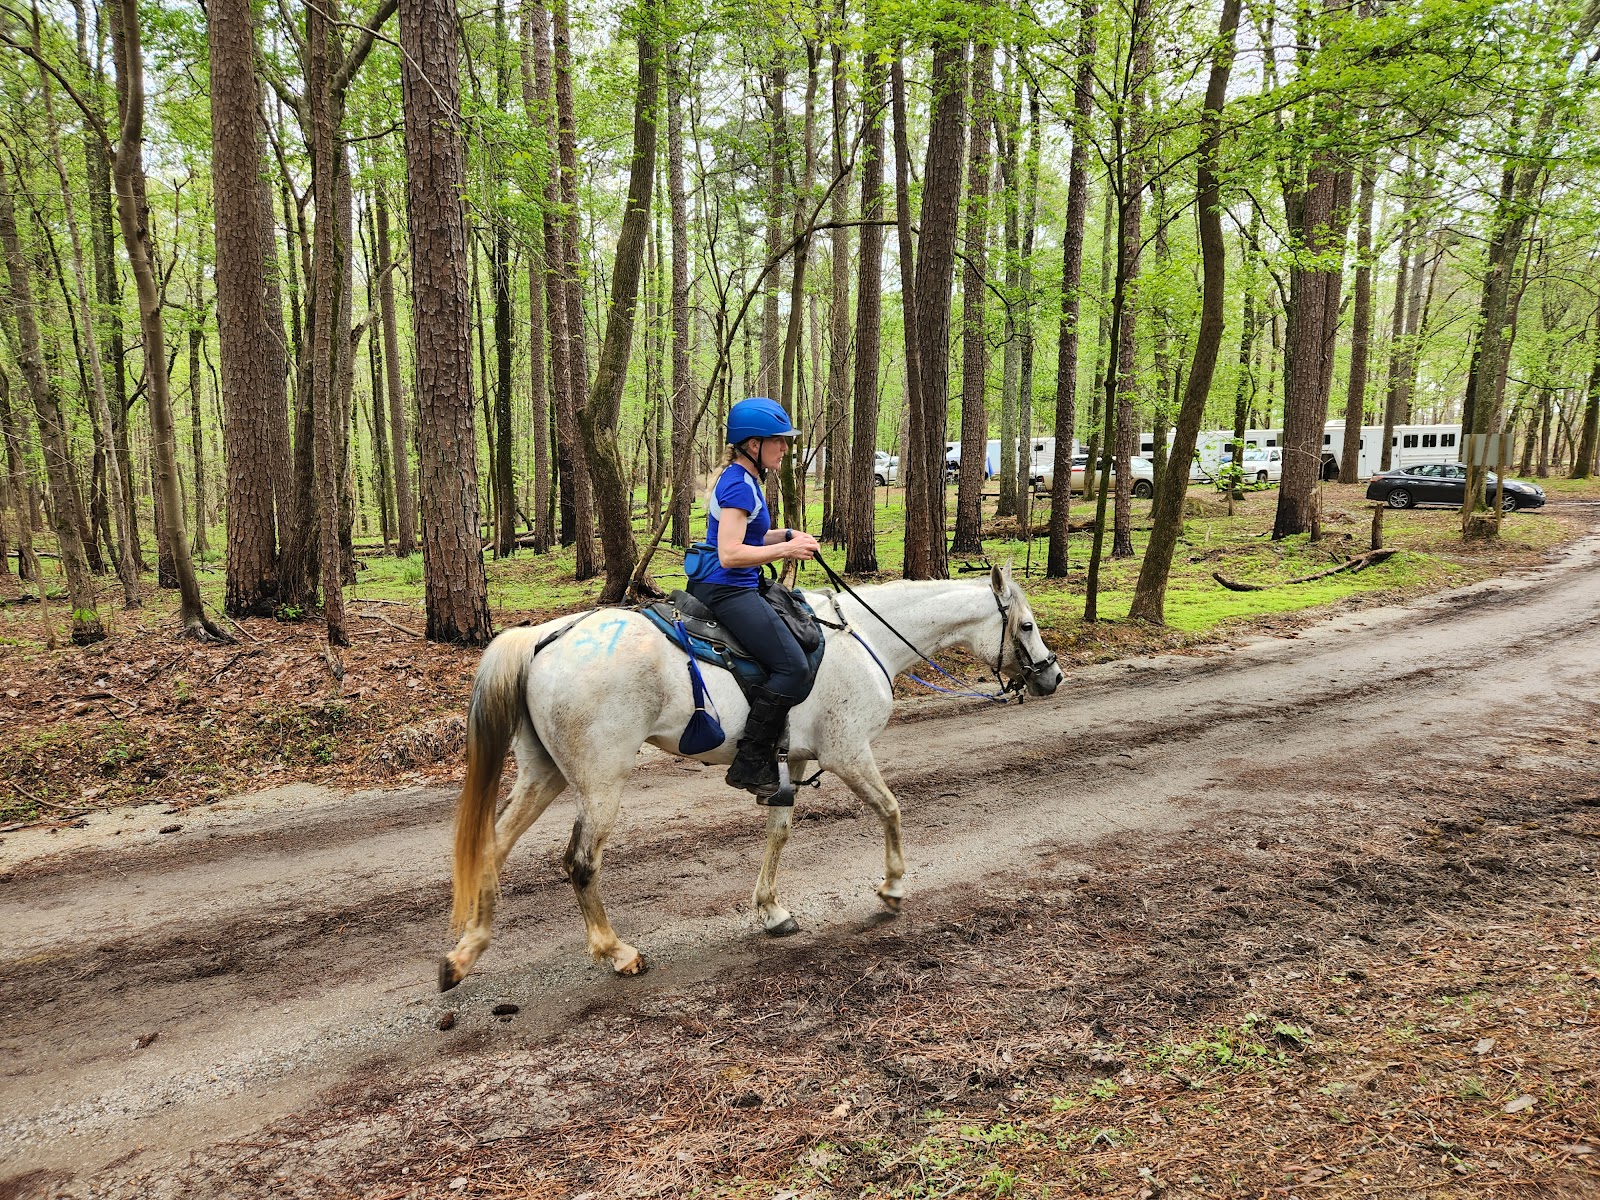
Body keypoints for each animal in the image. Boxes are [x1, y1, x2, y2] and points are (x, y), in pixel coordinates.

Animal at [440, 562, 1062, 990]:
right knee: (581, 863)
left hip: (543, 774)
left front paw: (772, 910)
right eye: (1028, 625)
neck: (867, 639)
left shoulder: (795, 760)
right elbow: (890, 808)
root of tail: (545, 639)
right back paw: (616, 952)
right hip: (600, 782)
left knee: (493, 847)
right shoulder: (848, 753)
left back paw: (464, 954)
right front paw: (892, 888)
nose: (1052, 677)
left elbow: (779, 833)